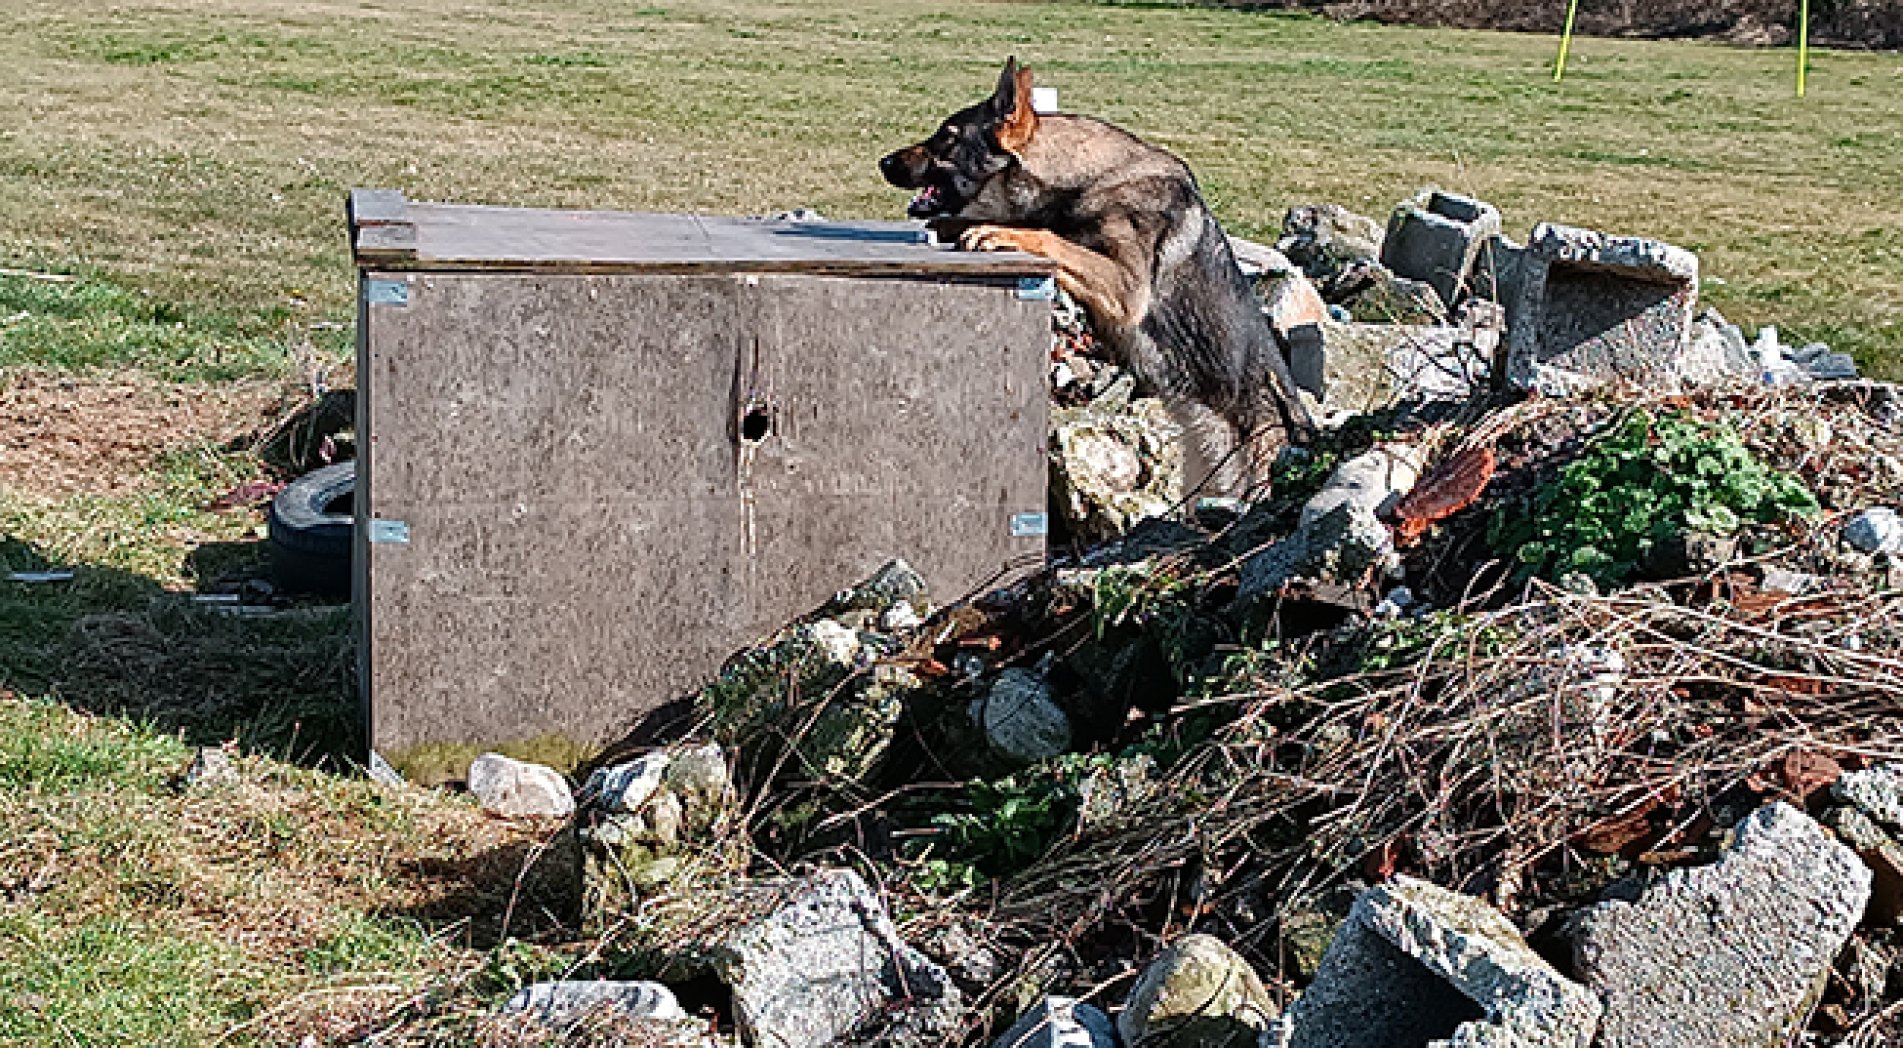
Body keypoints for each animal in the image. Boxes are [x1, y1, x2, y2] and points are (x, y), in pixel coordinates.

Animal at [879, 57, 1316, 502]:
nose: (883, 163)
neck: (1083, 176)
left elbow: (1051, 236)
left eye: (946, 138)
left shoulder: (1126, 286)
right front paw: (956, 225)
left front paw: (996, 232)